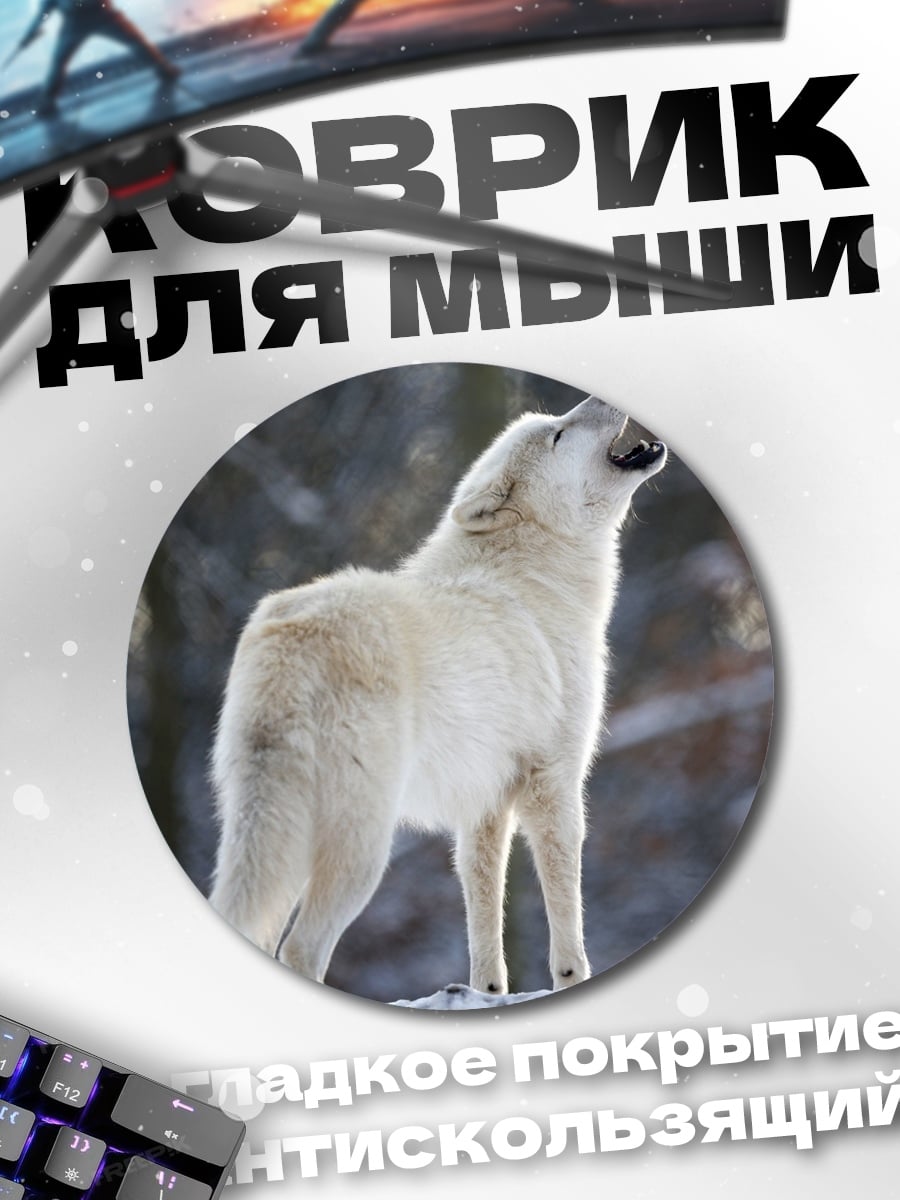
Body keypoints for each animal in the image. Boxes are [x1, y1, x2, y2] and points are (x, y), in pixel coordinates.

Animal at [209, 395, 666, 994]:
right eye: (559, 435)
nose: (598, 397)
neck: (535, 575)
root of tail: (293, 636)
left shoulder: (485, 803)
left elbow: (483, 912)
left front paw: (485, 994)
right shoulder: (555, 783)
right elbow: (566, 912)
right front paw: (571, 982)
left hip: (279, 832)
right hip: (361, 847)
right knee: (300, 949)